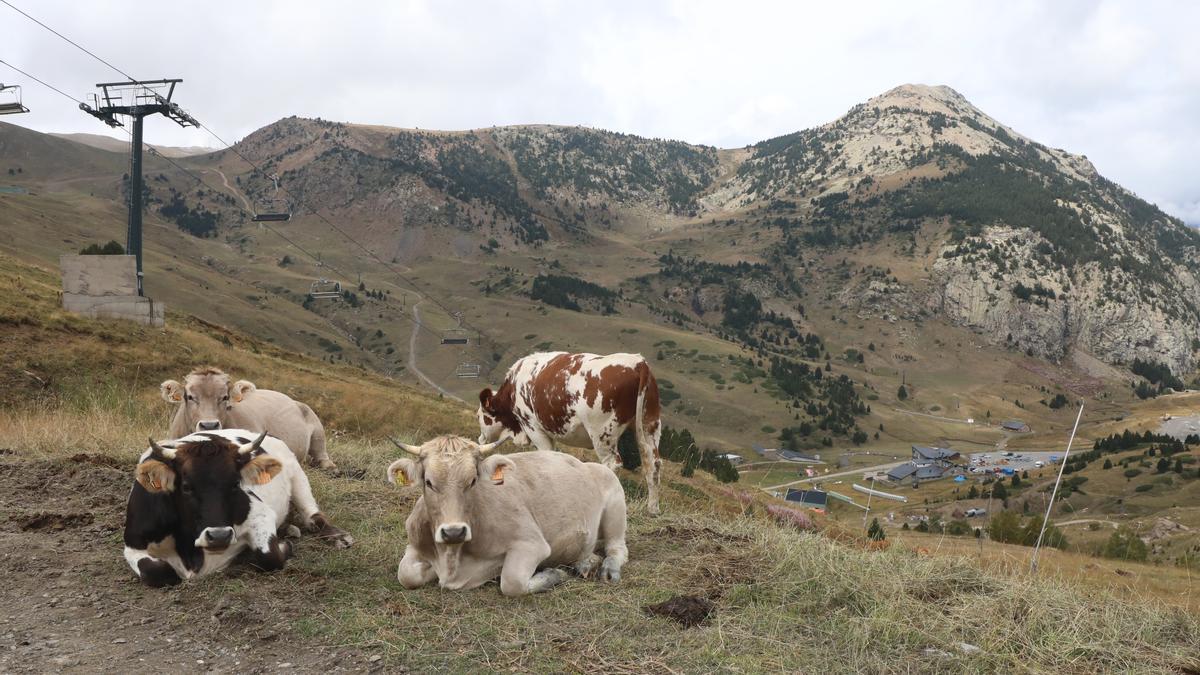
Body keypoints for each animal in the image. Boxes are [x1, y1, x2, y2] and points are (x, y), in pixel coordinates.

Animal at [123, 427, 352, 586]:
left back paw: (337, 536)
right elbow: (156, 571)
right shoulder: (133, 544)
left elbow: (269, 556)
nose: (219, 536)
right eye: (186, 486)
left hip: (297, 475)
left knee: (313, 515)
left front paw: (281, 546)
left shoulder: (260, 515)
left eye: (235, 484)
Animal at [386, 429, 633, 593]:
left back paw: (607, 569)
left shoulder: (532, 543)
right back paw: (585, 562)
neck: (452, 559)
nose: (454, 532)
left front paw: (554, 574)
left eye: (473, 481)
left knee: (617, 548)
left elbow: (512, 583)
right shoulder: (414, 543)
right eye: (428, 482)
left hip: (616, 503)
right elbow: (405, 574)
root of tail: (584, 463)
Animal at [477, 348, 667, 511]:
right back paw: (653, 509)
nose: (480, 439)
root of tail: (638, 363)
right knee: (653, 463)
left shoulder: (533, 426)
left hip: (602, 432)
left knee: (612, 464)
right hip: (649, 425)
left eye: (479, 416)